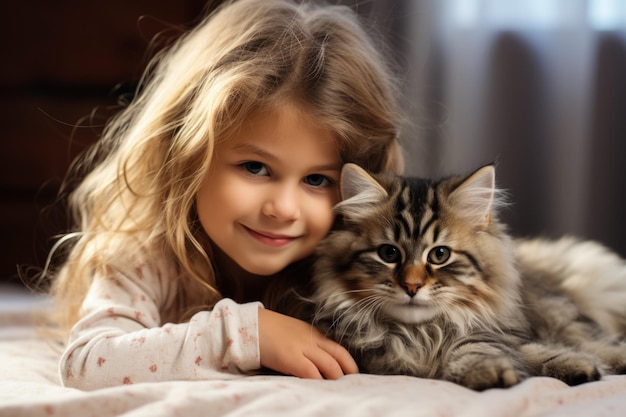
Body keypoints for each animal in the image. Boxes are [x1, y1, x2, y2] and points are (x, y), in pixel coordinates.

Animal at [270, 163, 624, 390]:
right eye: (389, 254)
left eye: (439, 255)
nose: (411, 286)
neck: (422, 334)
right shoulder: (383, 360)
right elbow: (520, 354)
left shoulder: (492, 331)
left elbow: (503, 349)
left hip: (557, 314)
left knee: (591, 338)